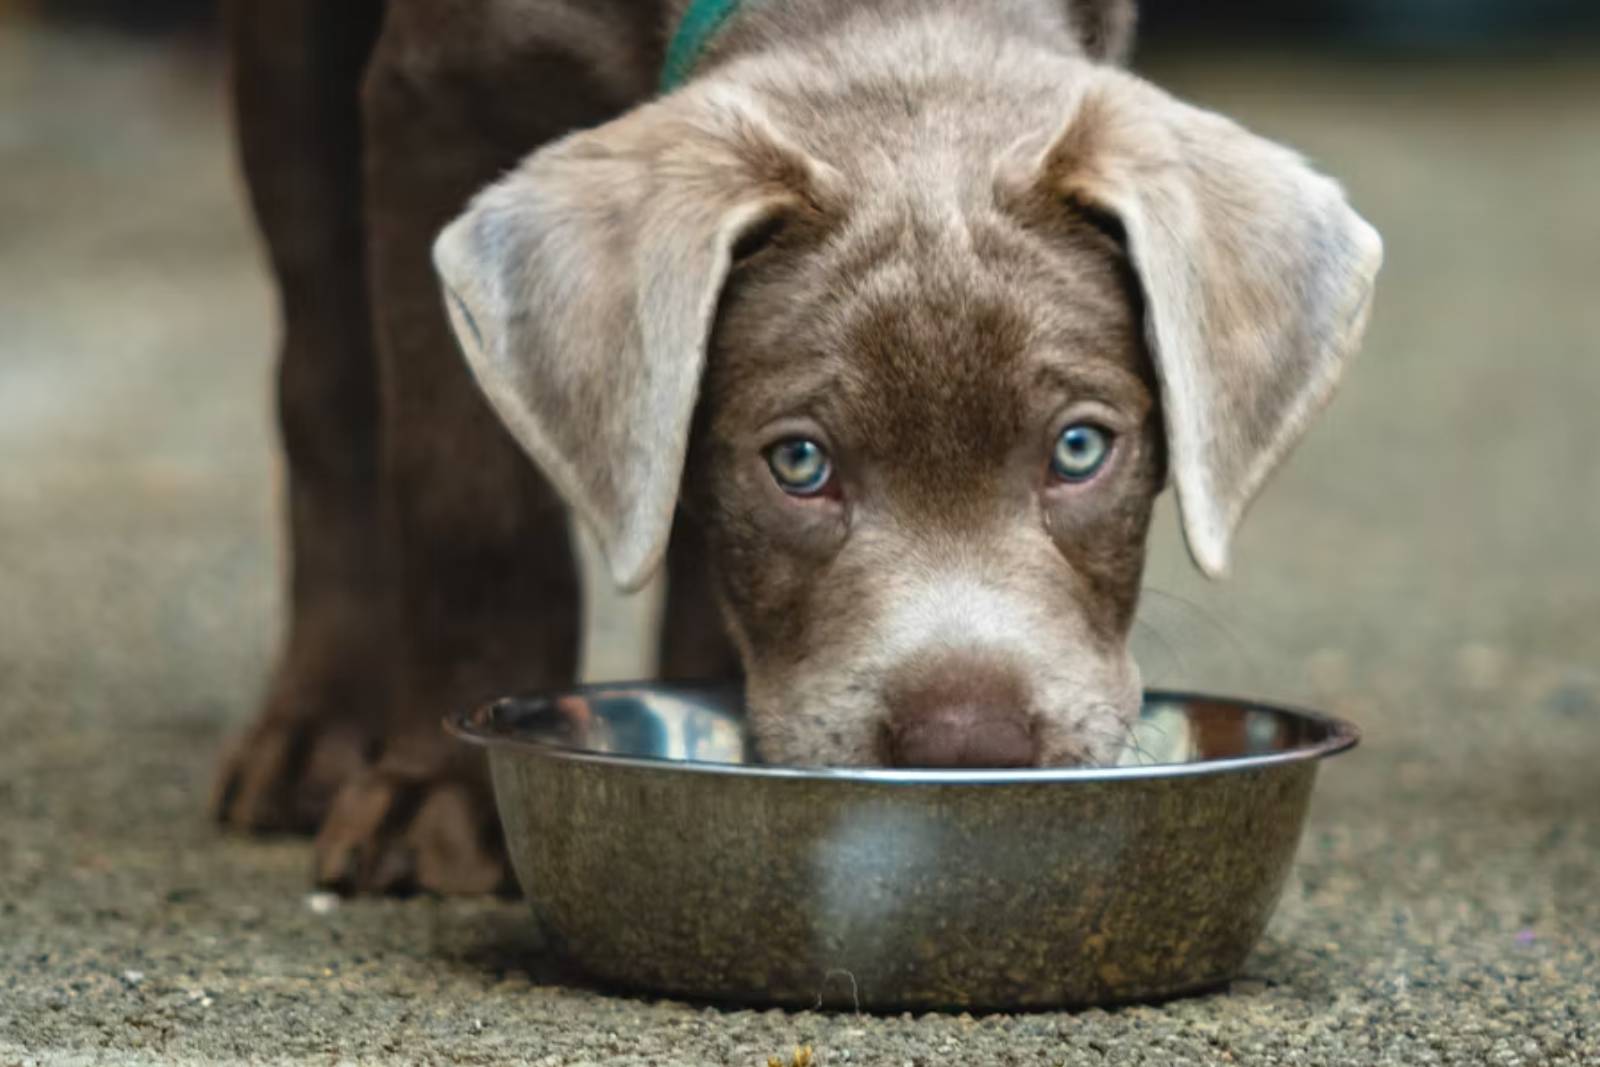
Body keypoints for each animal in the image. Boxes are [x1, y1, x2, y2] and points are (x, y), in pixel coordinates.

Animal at [219, 0, 1382, 895]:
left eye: (1081, 447)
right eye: (801, 464)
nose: (966, 746)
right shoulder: (439, 91)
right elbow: (465, 498)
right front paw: (441, 804)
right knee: (323, 377)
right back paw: (313, 734)